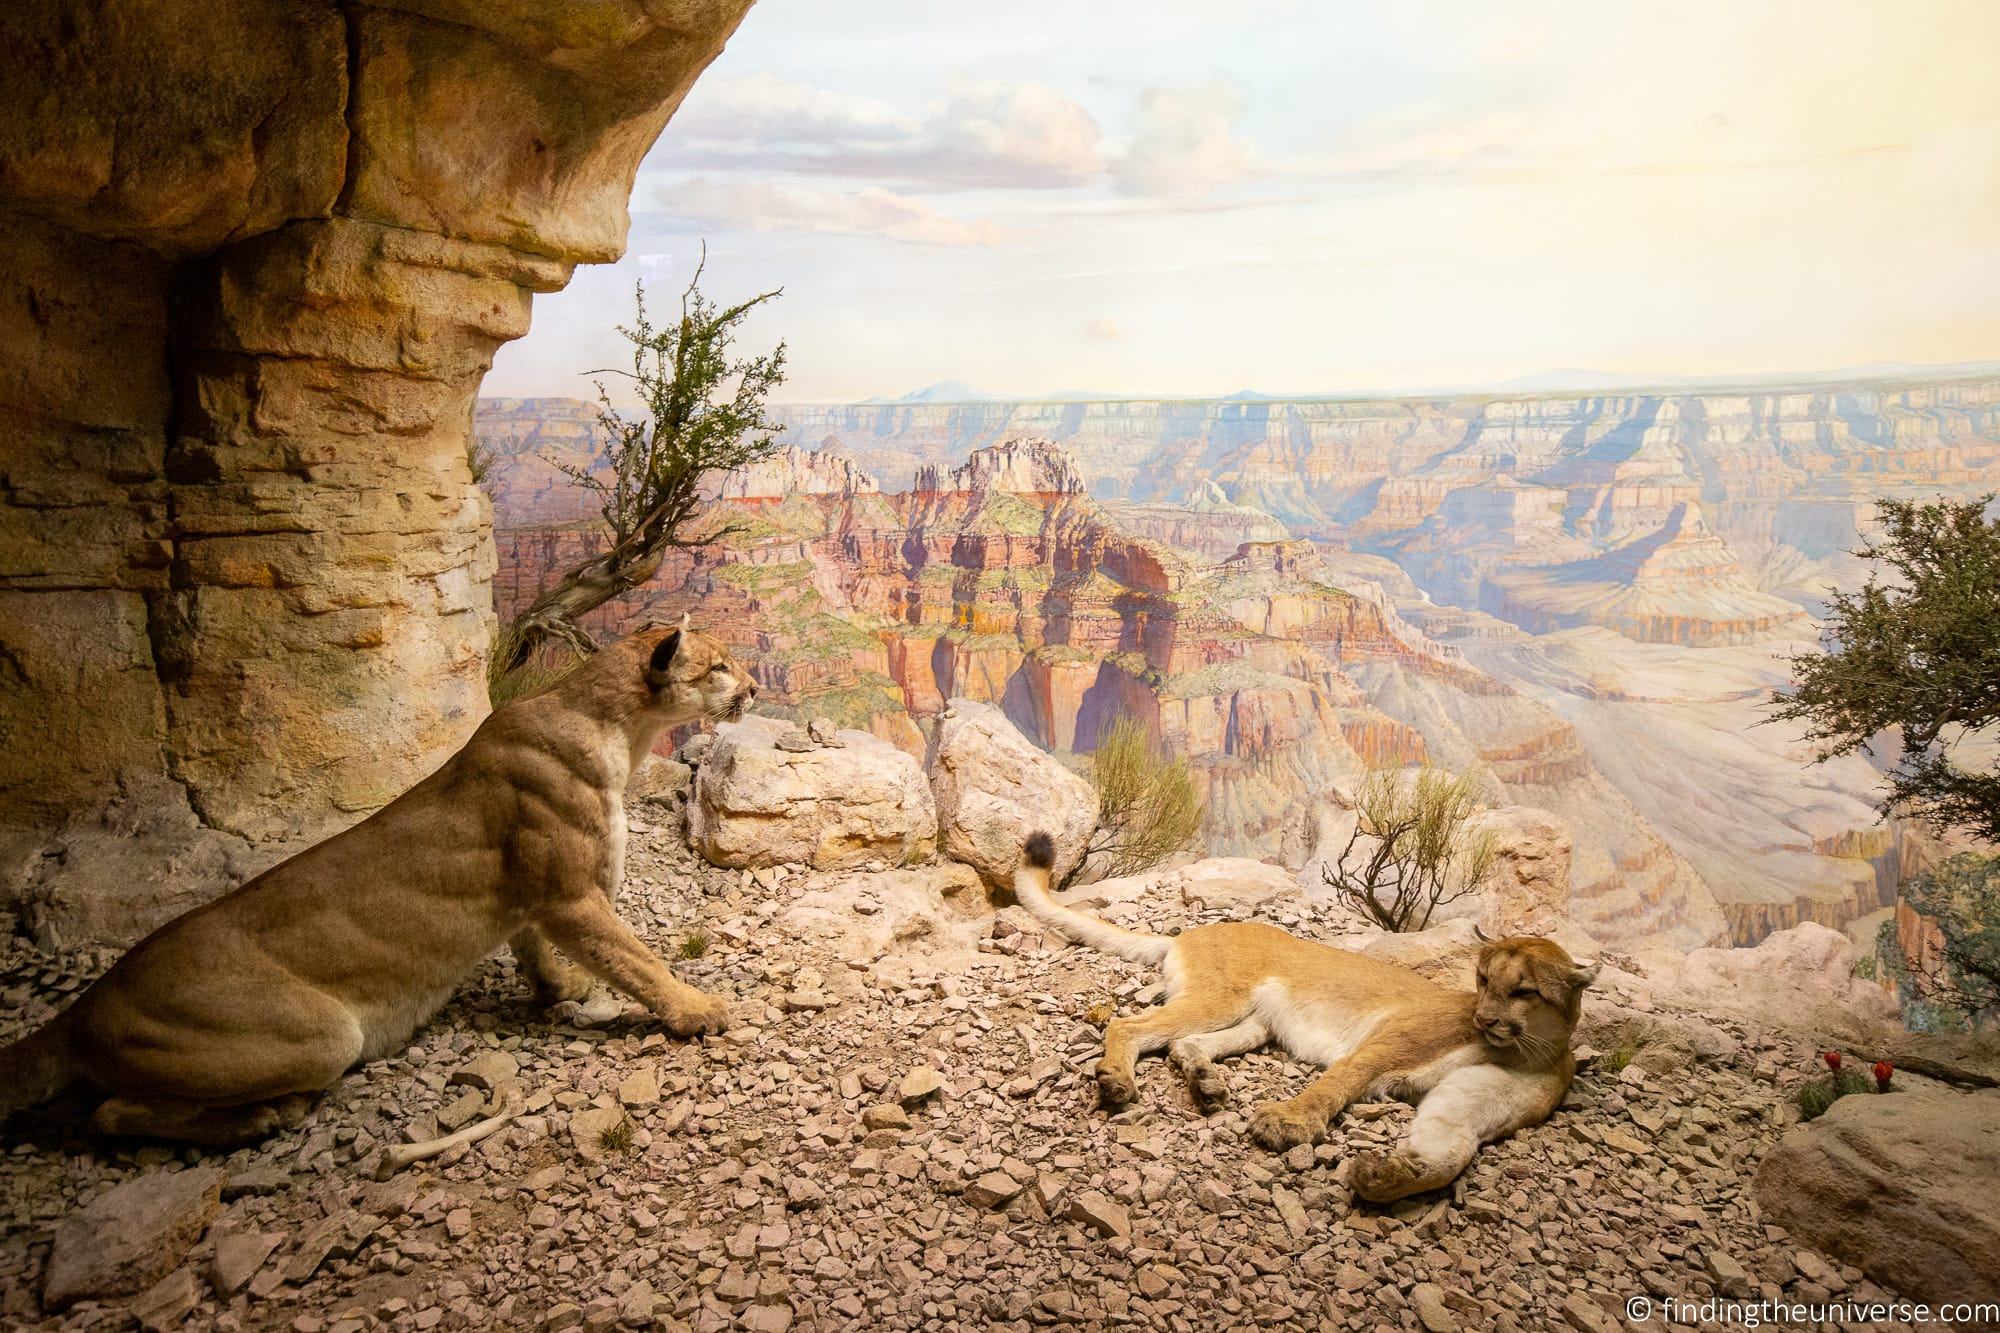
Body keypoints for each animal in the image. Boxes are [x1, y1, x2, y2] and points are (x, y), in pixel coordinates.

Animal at [1, 616, 752, 1136]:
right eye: (717, 665)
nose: (751, 686)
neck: (616, 728)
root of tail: (84, 1007)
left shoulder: (534, 897)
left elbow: (532, 945)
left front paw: (557, 987)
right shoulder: (571, 893)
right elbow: (636, 957)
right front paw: (697, 1008)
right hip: (321, 1034)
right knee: (108, 1112)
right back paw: (259, 1119)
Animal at [1016, 832, 1592, 1192]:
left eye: (1524, 991)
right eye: (1483, 980)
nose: (1485, 1019)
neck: (1523, 1051)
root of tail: (1192, 930)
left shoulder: (1474, 1100)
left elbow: (1450, 1152)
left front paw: (1384, 1179)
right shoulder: (1391, 1040)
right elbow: (1344, 1077)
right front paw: (1290, 1122)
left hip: (1252, 1022)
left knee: (1184, 1043)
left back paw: (1207, 1084)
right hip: (1222, 999)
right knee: (1129, 1024)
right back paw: (1117, 1081)